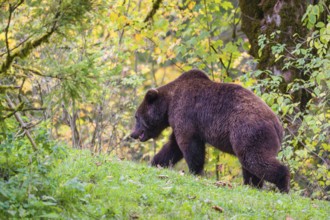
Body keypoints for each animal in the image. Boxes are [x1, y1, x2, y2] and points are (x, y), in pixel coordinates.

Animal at [130, 69, 290, 192]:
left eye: (136, 116)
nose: (133, 134)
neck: (168, 104)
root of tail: (277, 125)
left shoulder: (185, 114)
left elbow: (189, 146)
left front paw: (195, 171)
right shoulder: (181, 123)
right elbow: (172, 147)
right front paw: (155, 162)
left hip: (248, 132)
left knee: (255, 160)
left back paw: (282, 185)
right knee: (249, 165)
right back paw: (251, 185)